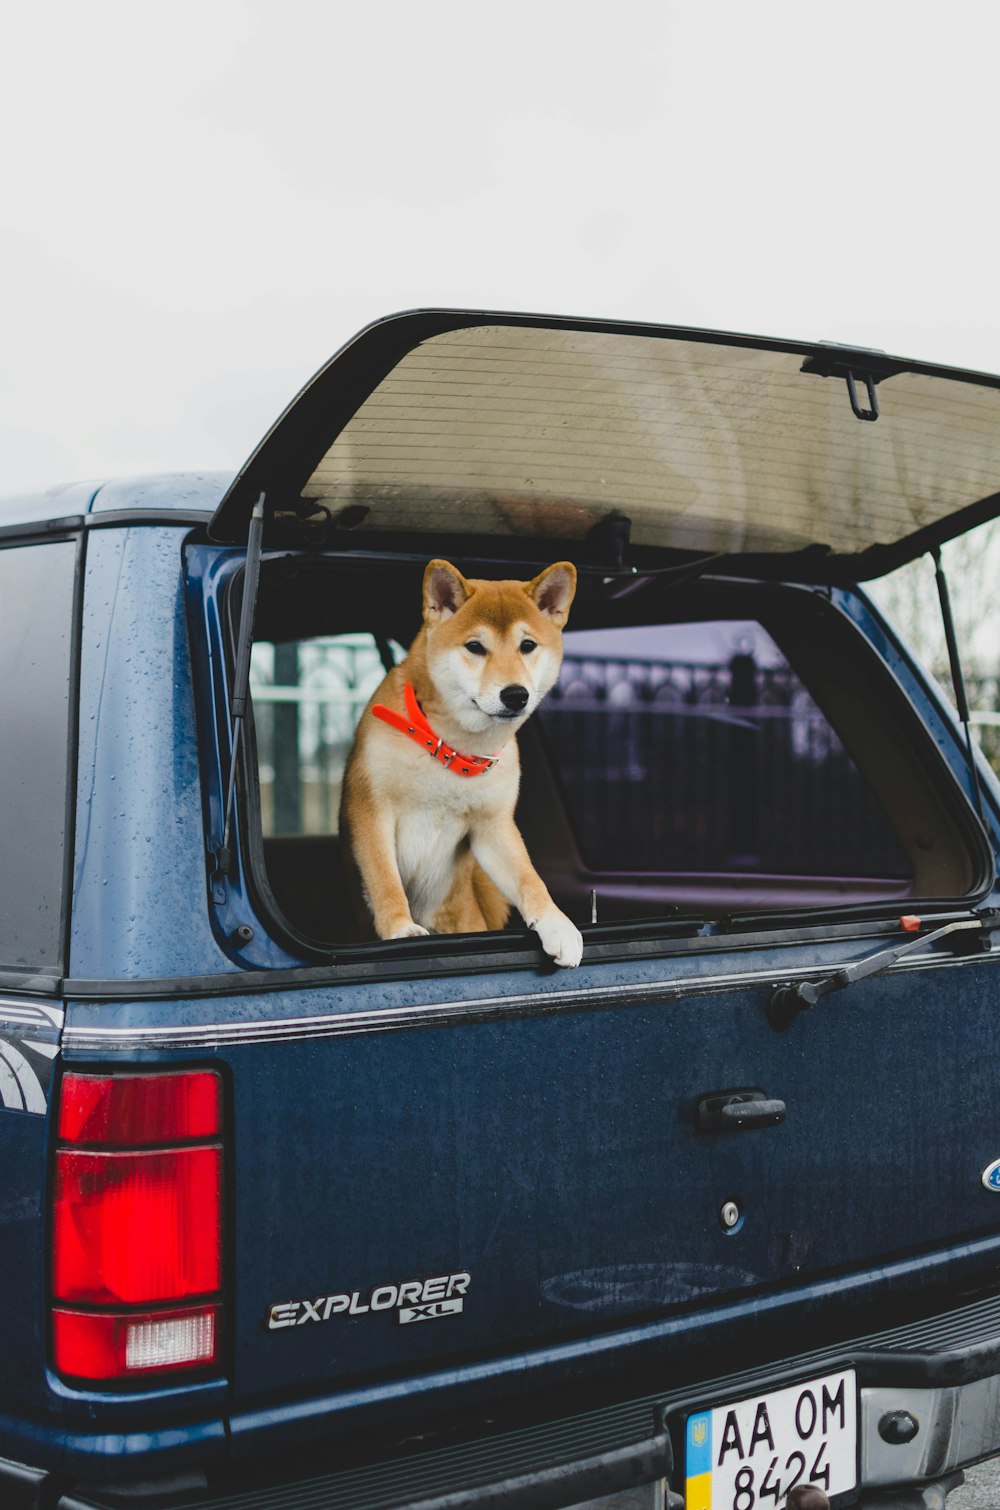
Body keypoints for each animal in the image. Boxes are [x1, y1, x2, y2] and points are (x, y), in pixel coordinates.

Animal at [341, 558, 583, 966]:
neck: (451, 746)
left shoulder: (493, 827)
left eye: (527, 645)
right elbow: (385, 880)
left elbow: (529, 877)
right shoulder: (370, 809)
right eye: (475, 647)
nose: (515, 695)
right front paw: (400, 929)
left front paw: (558, 924)